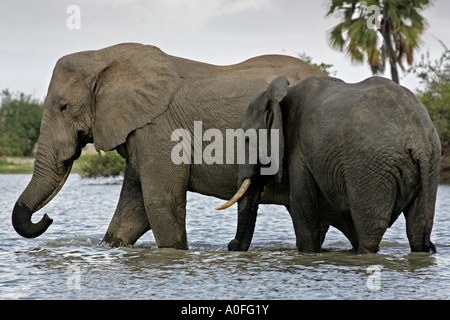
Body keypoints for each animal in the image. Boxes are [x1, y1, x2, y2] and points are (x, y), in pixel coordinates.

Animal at [11, 42, 326, 249]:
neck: (103, 58)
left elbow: (160, 200)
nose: (48, 217)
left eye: (63, 107)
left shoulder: (158, 129)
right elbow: (133, 208)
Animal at [220, 76, 442, 254]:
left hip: (370, 166)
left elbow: (304, 208)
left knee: (370, 228)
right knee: (418, 226)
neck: (282, 98)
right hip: (429, 165)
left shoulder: (299, 149)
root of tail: (419, 139)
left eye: (247, 139)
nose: (231, 245)